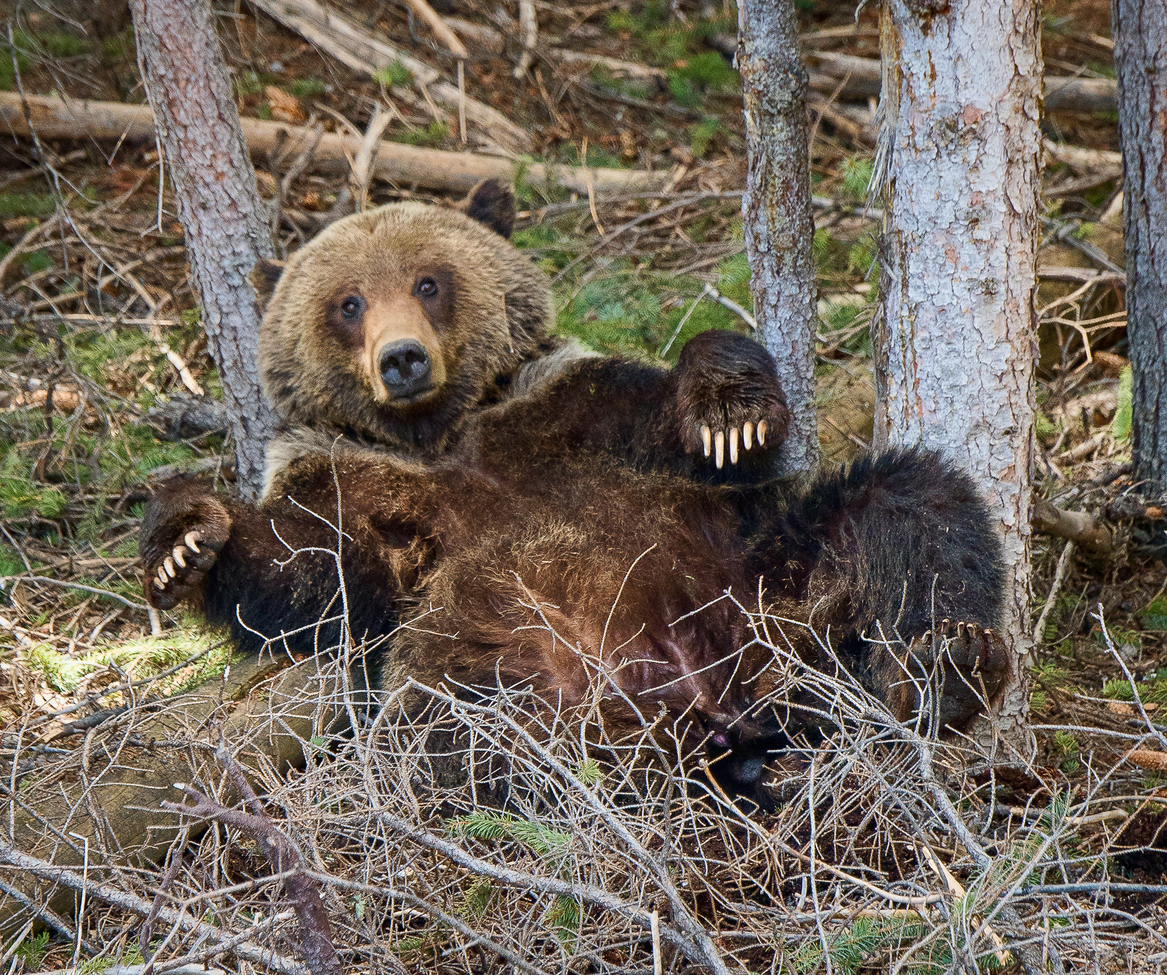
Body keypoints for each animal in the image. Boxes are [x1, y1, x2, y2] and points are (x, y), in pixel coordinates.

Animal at [139, 182, 1009, 789]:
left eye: (429, 281)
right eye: (347, 301)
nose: (402, 359)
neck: (444, 437)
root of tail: (722, 706)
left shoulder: (571, 408)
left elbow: (697, 434)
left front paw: (728, 409)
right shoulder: (357, 486)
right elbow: (306, 567)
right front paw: (185, 539)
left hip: (766, 585)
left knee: (905, 509)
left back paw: (946, 664)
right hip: (491, 649)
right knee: (449, 731)